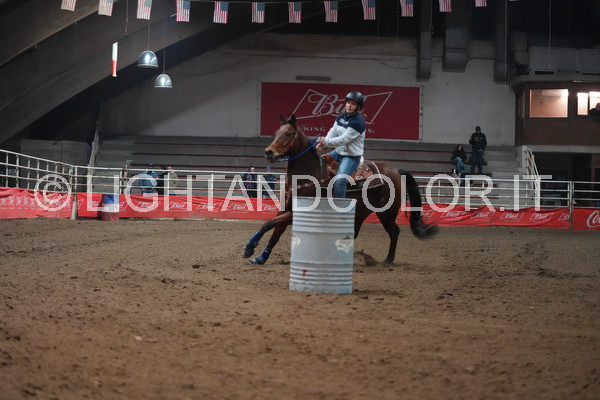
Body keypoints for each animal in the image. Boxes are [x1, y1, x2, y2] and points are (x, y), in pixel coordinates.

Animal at [242, 114, 437, 265]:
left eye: (288, 133)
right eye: (276, 133)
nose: (268, 152)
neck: (308, 174)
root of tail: (396, 171)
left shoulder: (299, 211)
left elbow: (268, 224)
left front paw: (249, 247)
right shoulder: (285, 210)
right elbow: (275, 232)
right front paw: (260, 257)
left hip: (386, 213)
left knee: (394, 231)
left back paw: (388, 259)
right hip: (362, 212)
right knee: (355, 233)